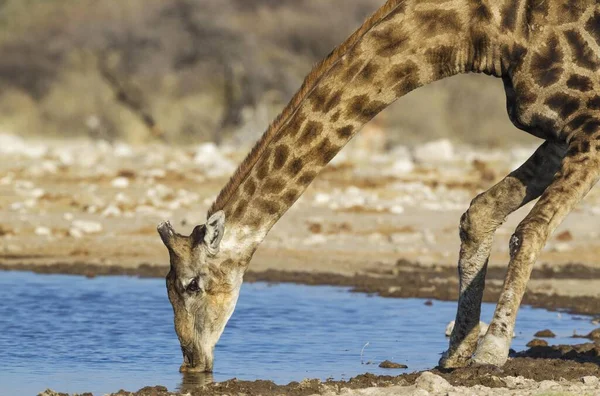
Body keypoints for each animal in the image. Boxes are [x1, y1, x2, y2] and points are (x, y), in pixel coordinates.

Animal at [157, 0, 600, 372]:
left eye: (191, 285)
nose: (191, 361)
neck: (489, 31)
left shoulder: (590, 132)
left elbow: (529, 231)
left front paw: (492, 351)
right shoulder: (561, 135)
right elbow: (479, 214)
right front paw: (456, 354)